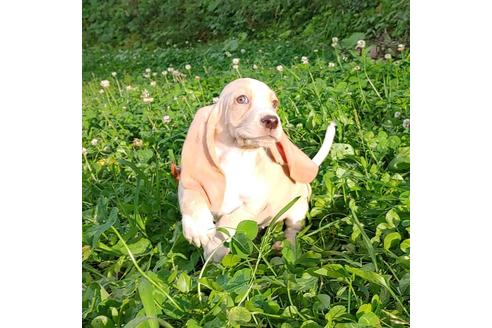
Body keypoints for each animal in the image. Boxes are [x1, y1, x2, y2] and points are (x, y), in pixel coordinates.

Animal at [176, 77, 334, 262]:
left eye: (274, 103)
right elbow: (191, 197)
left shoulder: (253, 204)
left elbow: (229, 220)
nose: (272, 120)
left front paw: (214, 250)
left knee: (292, 230)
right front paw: (198, 227)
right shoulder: (189, 183)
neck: (236, 158)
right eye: (241, 99)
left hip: (298, 210)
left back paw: (286, 247)